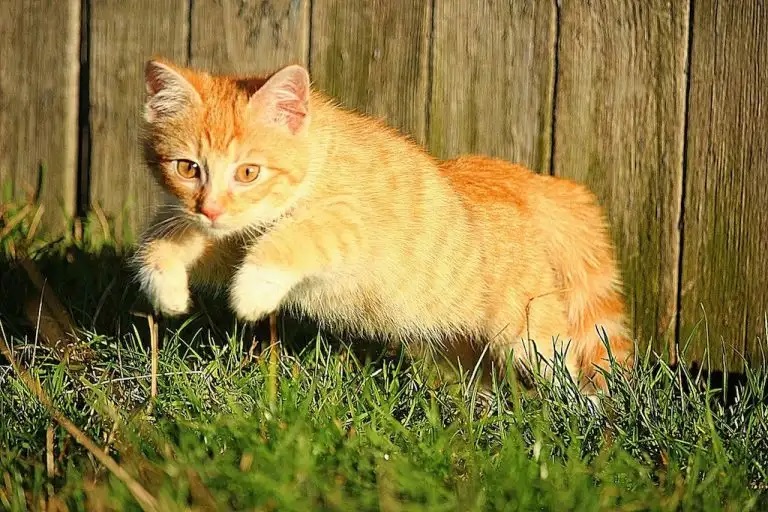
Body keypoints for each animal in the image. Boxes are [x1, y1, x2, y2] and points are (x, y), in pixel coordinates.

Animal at [135, 59, 632, 392]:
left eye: (248, 172)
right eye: (187, 168)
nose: (211, 208)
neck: (317, 159)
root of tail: (520, 178)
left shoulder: (351, 225)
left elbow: (296, 236)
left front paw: (253, 290)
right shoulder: (225, 233)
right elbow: (167, 234)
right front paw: (167, 286)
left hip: (530, 333)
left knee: (564, 366)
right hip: (459, 336)